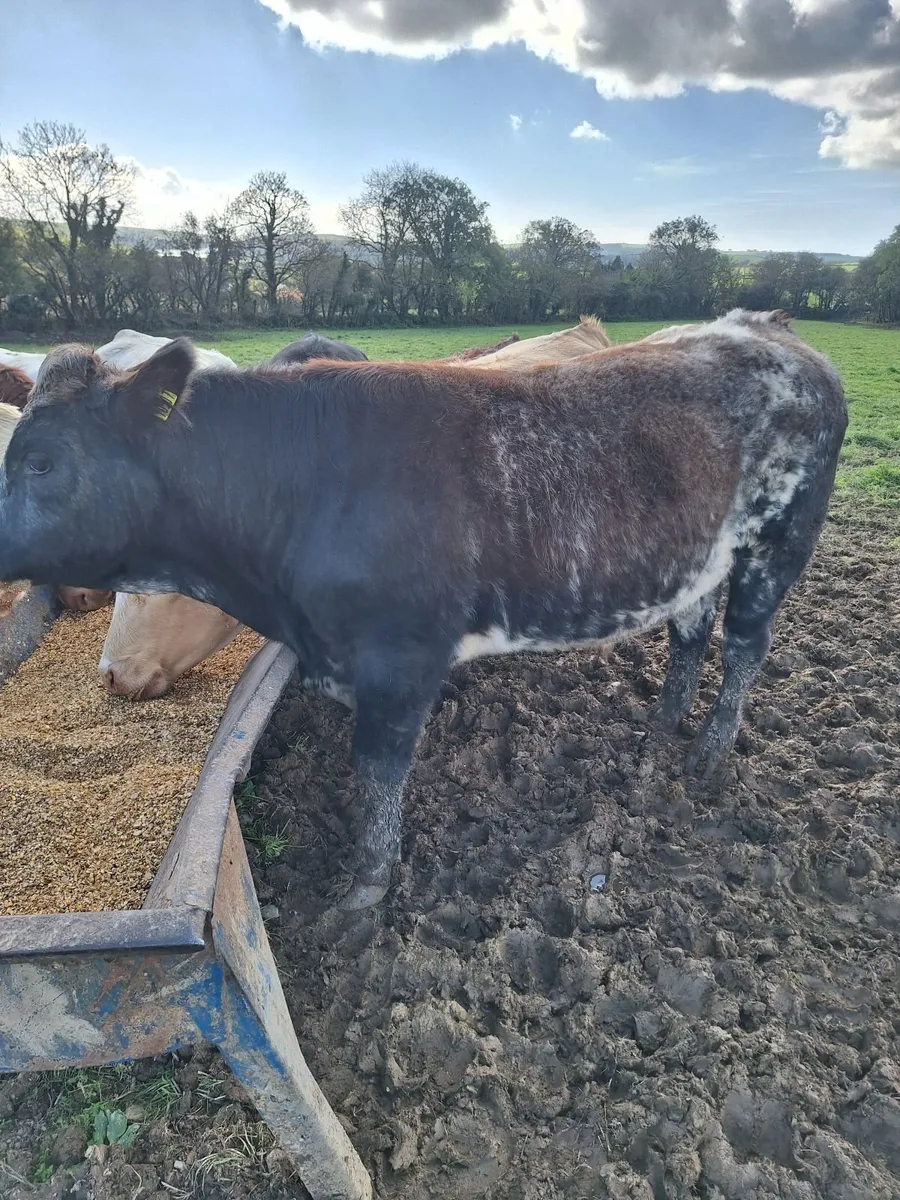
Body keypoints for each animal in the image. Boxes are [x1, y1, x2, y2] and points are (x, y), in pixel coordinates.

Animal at [0, 310, 848, 911]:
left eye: (41, 461)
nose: (115, 675)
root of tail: (767, 328)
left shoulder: (401, 660)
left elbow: (379, 778)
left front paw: (363, 896)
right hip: (699, 557)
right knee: (690, 632)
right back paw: (662, 727)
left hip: (779, 543)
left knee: (744, 645)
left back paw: (707, 755)